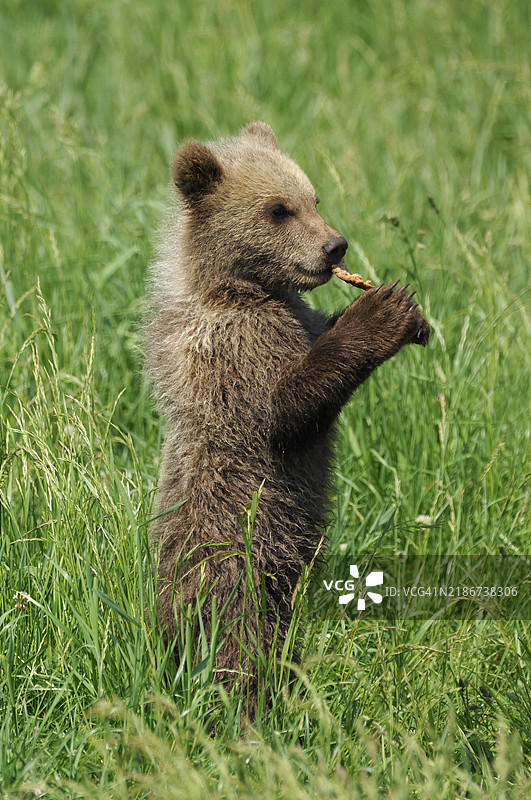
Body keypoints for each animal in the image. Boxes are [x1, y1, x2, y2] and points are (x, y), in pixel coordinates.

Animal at [145, 121, 429, 700]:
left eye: (313, 198)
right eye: (278, 209)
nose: (335, 245)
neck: (244, 289)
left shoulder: (296, 319)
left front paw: (406, 313)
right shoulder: (232, 354)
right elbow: (286, 409)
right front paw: (383, 308)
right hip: (235, 543)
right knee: (237, 636)